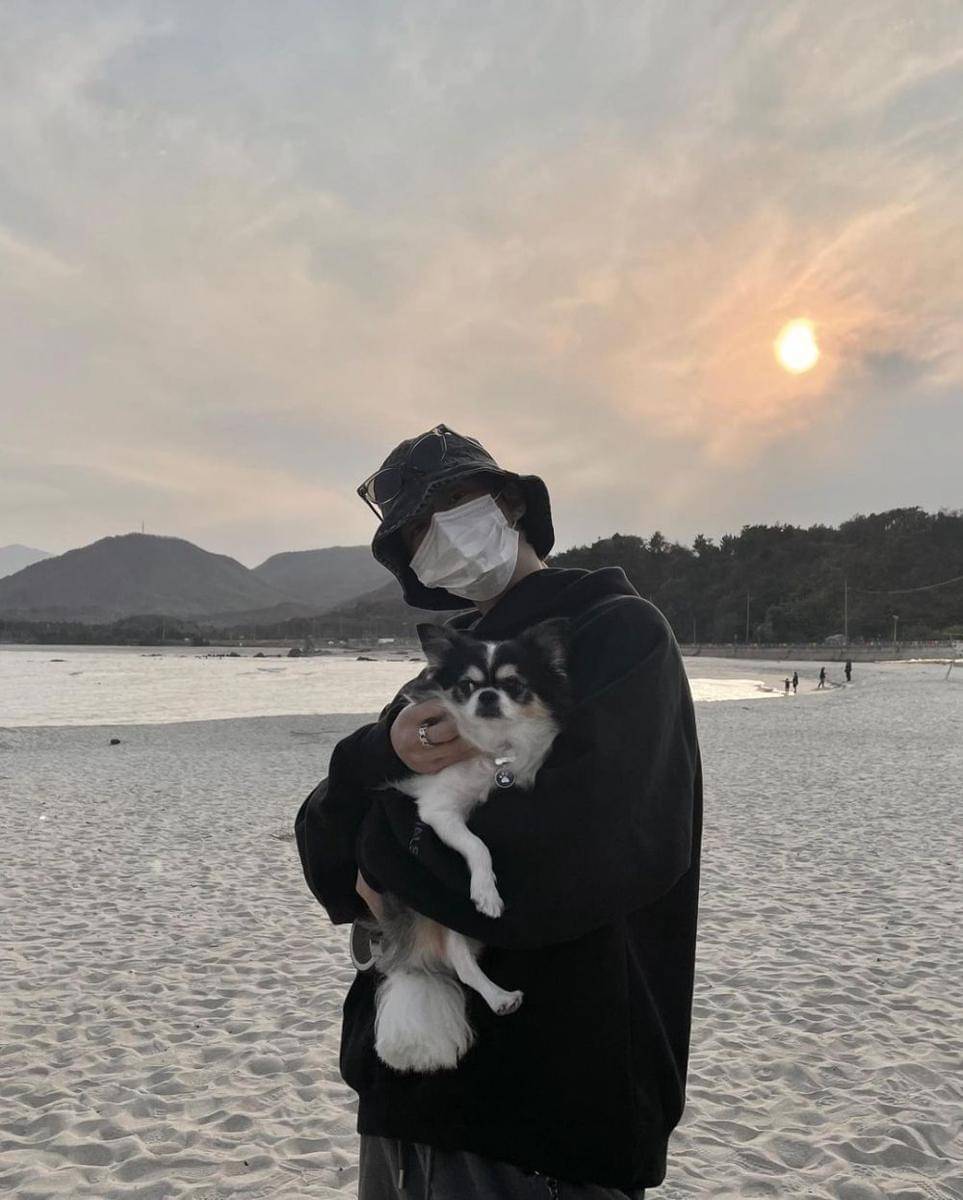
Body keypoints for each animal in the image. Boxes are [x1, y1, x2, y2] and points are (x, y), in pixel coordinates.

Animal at [370, 617, 572, 1074]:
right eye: (466, 686)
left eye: (514, 685)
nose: (488, 695)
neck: (492, 747)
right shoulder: (439, 812)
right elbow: (478, 847)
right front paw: (487, 894)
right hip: (443, 917)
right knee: (462, 965)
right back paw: (499, 997)